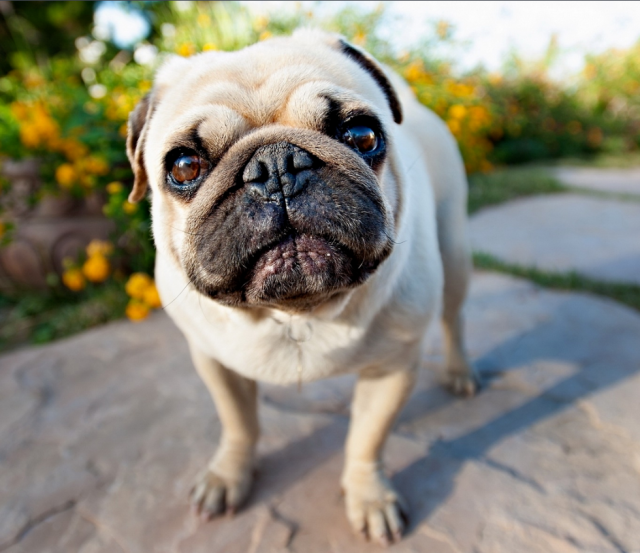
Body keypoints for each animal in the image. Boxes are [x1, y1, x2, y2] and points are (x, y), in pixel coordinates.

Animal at [126, 29, 476, 544]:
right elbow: (239, 424)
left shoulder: (391, 370)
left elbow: (366, 441)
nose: (276, 166)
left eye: (362, 136)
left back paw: (460, 371)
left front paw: (369, 497)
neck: (297, 312)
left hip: (454, 253)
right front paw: (228, 476)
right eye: (184, 166)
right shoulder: (215, 362)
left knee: (453, 318)